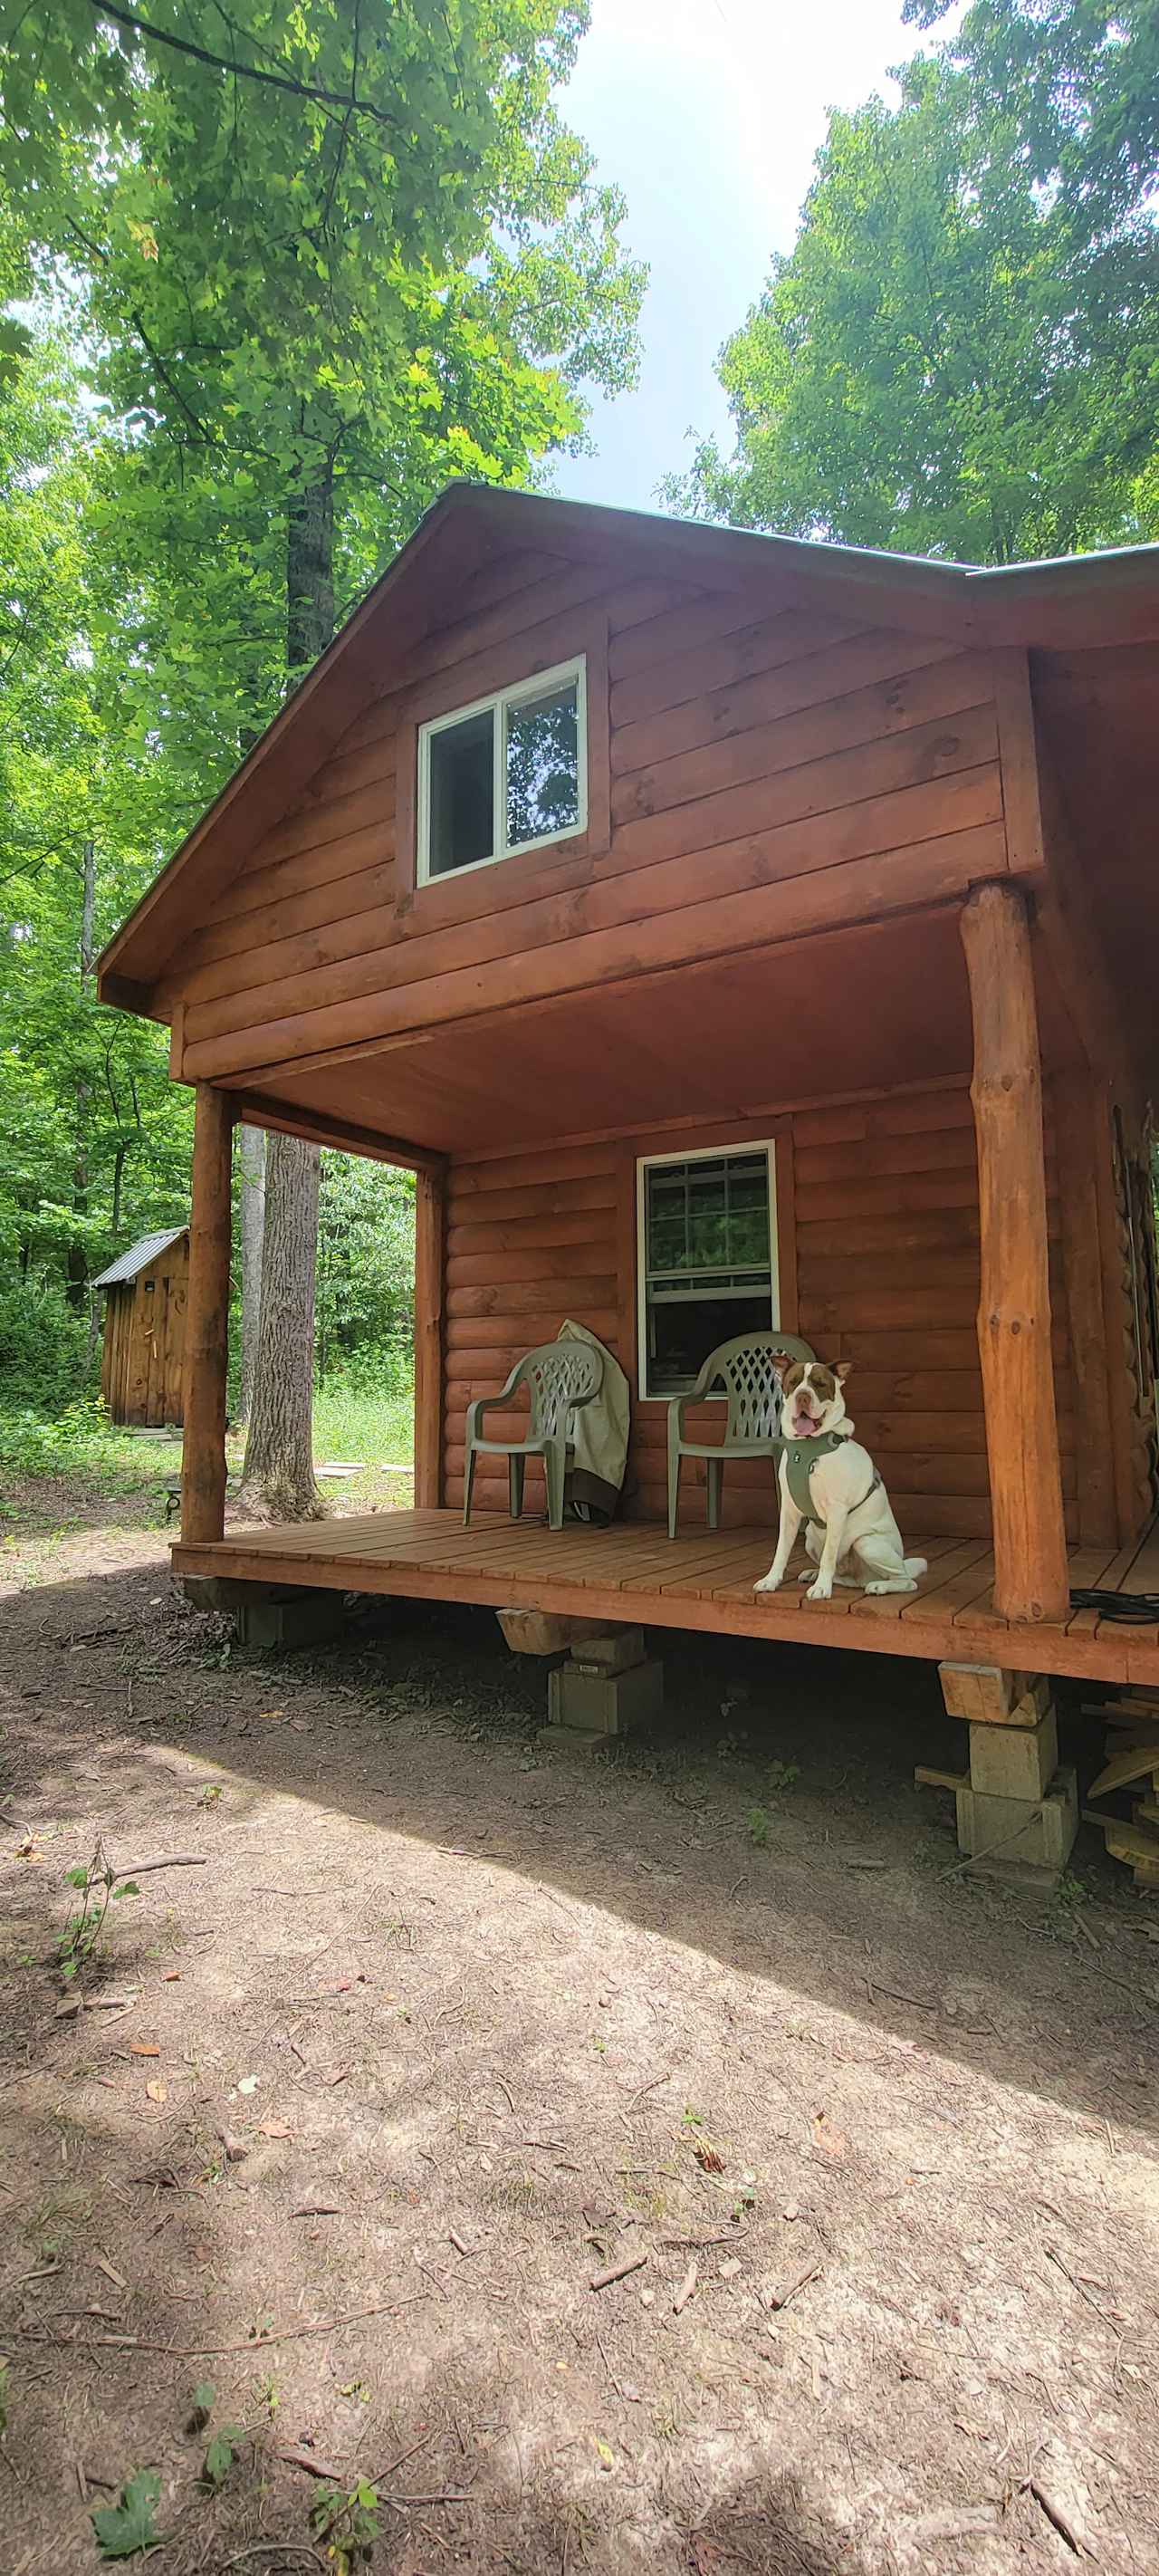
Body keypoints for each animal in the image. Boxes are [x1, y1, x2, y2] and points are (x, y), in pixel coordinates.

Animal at [757, 1360, 927, 1597]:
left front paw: (821, 1589)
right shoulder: (789, 1510)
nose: (803, 1396)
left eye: (820, 1384)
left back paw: (880, 1586)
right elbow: (781, 1550)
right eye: (793, 1382)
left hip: (867, 1543)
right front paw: (771, 1580)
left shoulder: (837, 1510)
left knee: (906, 1580)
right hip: (810, 1539)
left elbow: (828, 1555)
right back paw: (815, 1574)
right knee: (846, 1578)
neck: (808, 1446)